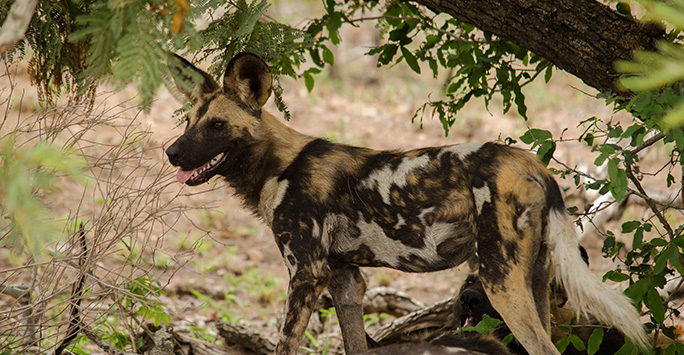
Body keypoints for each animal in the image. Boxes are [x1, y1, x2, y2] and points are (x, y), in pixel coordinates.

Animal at [166, 52, 648, 355]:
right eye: (189, 121)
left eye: (217, 125)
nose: (171, 153)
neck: (277, 166)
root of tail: (534, 165)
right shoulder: (344, 281)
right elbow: (355, 345)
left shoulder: (306, 275)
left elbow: (285, 346)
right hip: (536, 282)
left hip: (500, 282)